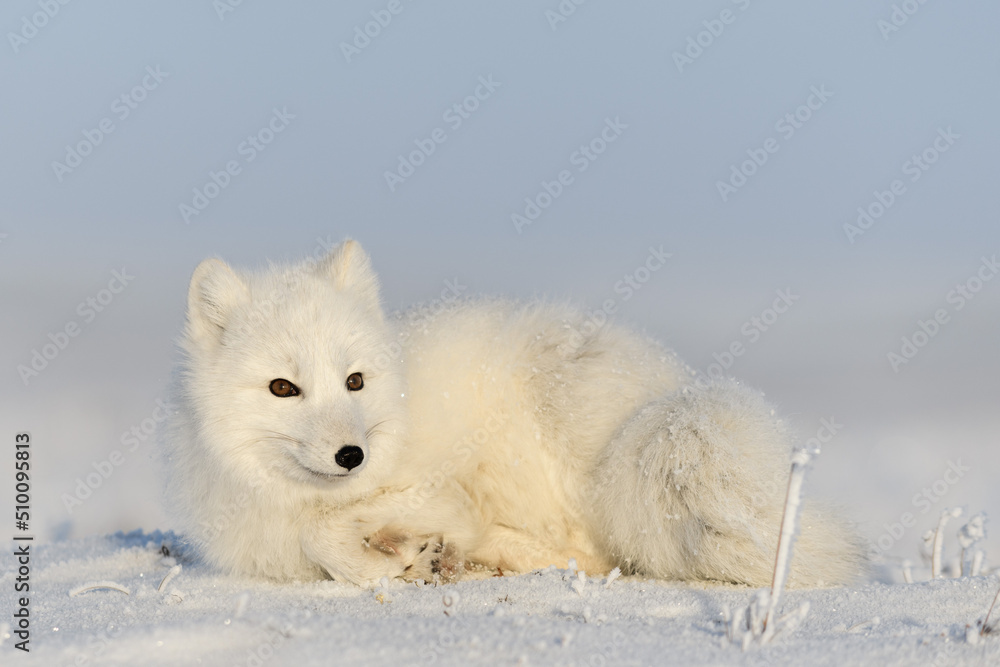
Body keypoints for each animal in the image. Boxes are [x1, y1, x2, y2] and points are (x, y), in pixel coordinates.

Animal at [162, 239, 864, 587]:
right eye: (283, 388)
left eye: (354, 381)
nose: (351, 456)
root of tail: (673, 392)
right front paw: (410, 558)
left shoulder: (435, 488)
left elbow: (330, 532)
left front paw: (389, 563)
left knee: (598, 553)